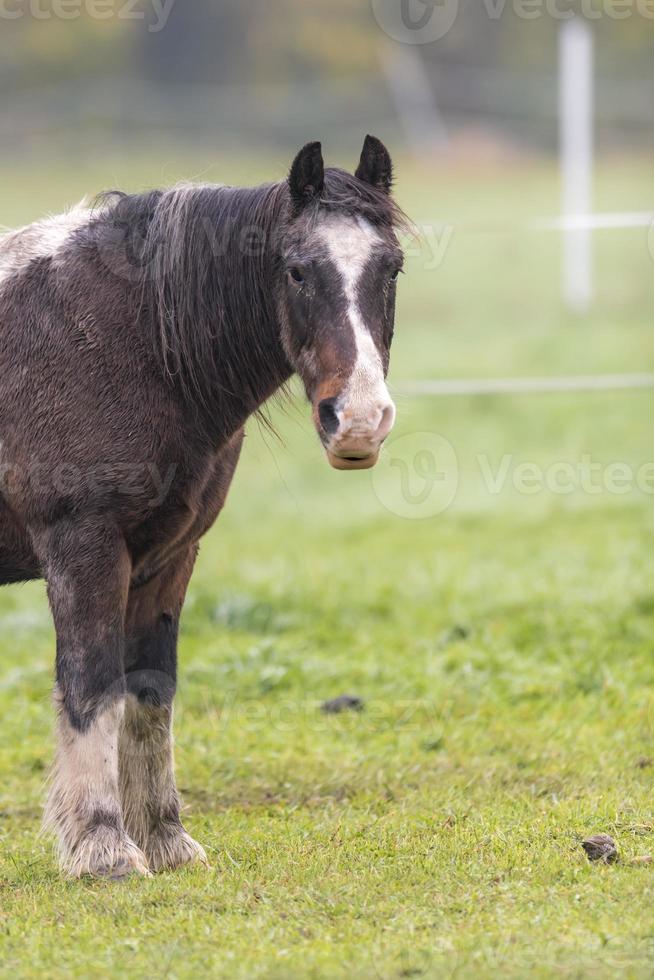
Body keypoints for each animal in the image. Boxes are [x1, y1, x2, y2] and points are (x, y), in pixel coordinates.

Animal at [0, 134, 410, 876]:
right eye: (297, 271)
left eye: (390, 269)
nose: (360, 421)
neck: (120, 342)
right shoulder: (83, 544)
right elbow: (90, 686)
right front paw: (103, 848)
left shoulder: (168, 555)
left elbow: (149, 694)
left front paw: (166, 841)